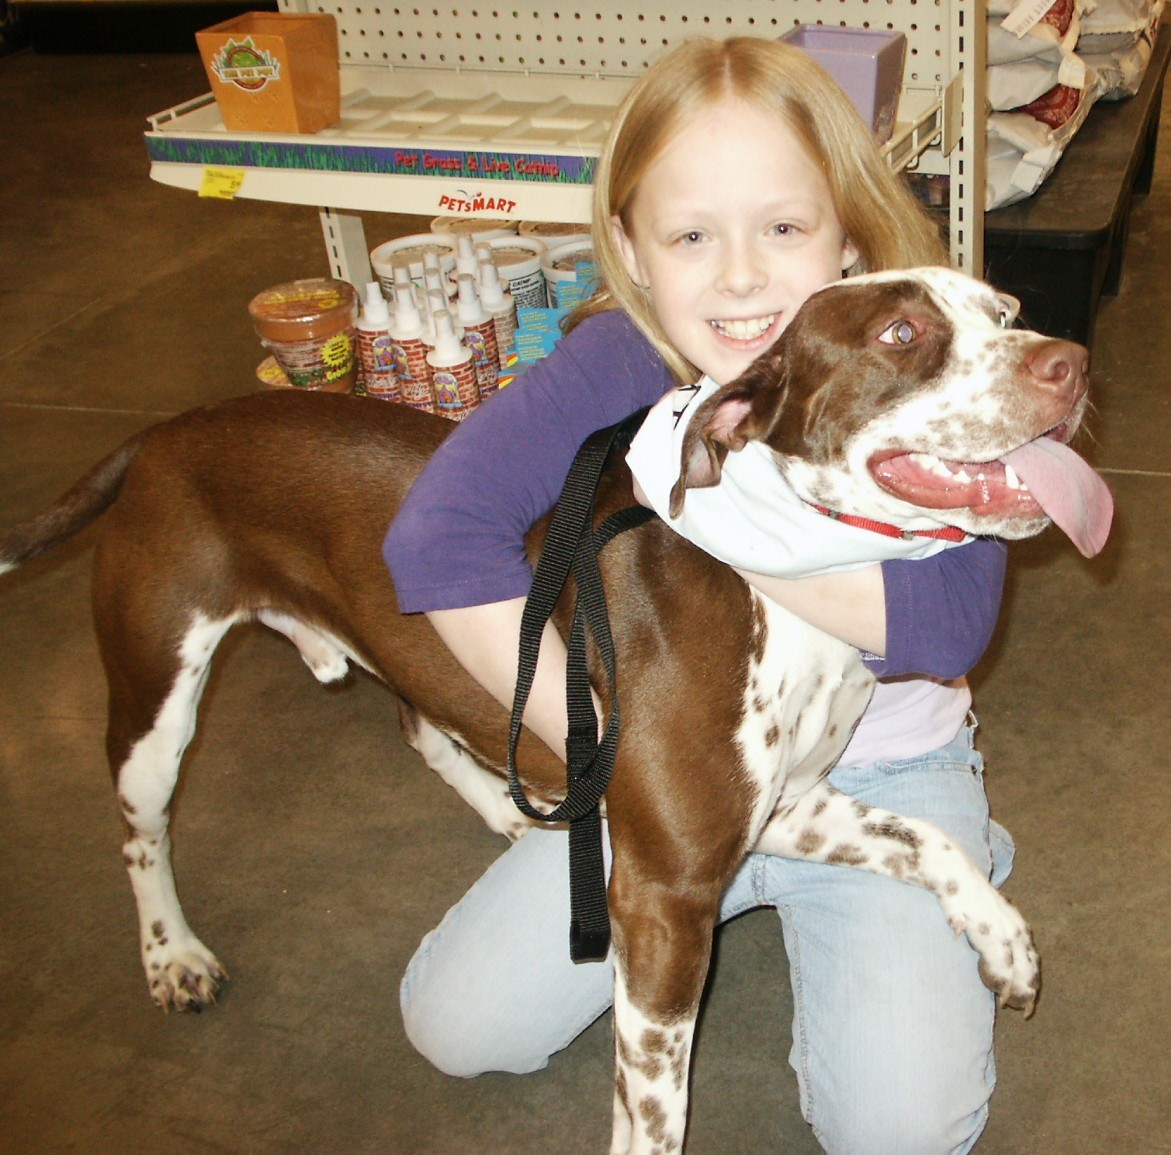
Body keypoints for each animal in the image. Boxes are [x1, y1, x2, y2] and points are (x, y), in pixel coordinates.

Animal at [0, 265, 1110, 1147]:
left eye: (1005, 310)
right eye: (900, 335)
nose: (1068, 363)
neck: (780, 572)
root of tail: (160, 433)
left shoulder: (787, 807)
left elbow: (932, 837)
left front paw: (1002, 937)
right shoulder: (664, 895)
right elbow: (654, 1110)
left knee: (415, 716)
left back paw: (504, 807)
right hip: (157, 697)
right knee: (140, 830)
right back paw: (172, 955)